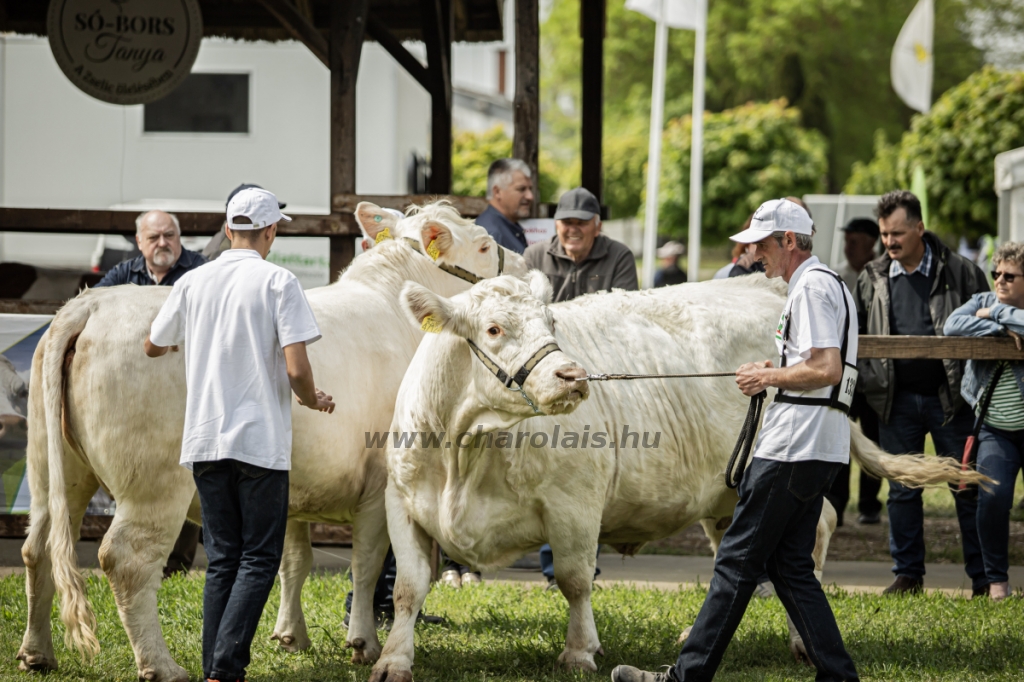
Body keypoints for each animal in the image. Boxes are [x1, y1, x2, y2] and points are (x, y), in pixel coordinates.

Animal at [16, 202, 528, 679]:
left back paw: (37, 653)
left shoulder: (291, 484)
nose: (524, 268)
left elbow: (293, 561)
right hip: (154, 484)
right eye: (485, 245)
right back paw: (161, 666)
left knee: (38, 546)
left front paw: (290, 635)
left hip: (52, 468)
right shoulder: (380, 485)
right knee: (124, 559)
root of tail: (92, 304)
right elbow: (365, 563)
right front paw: (364, 643)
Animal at [372, 274, 995, 675]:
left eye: (551, 321)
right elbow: (408, 587)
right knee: (740, 553)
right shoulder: (401, 502)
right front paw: (393, 658)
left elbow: (574, 580)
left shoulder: (575, 503)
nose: (573, 375)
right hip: (728, 488)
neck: (465, 447)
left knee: (814, 534)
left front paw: (580, 652)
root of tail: (768, 286)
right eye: (495, 329)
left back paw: (801, 641)